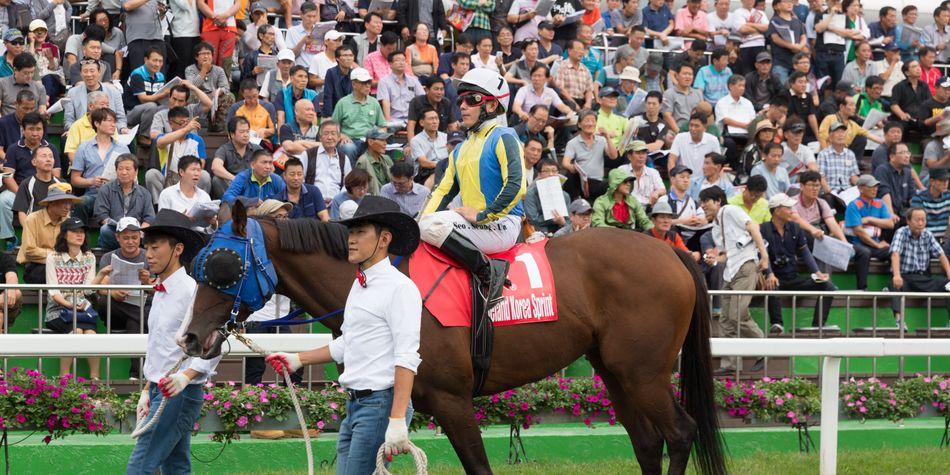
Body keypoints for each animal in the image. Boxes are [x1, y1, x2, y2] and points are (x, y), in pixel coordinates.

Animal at [180, 212, 728, 475]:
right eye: (198, 264)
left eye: (224, 266)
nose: (190, 337)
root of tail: (671, 252)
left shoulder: (453, 401)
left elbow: (478, 467)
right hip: (616, 372)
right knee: (648, 443)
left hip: (644, 373)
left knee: (680, 433)